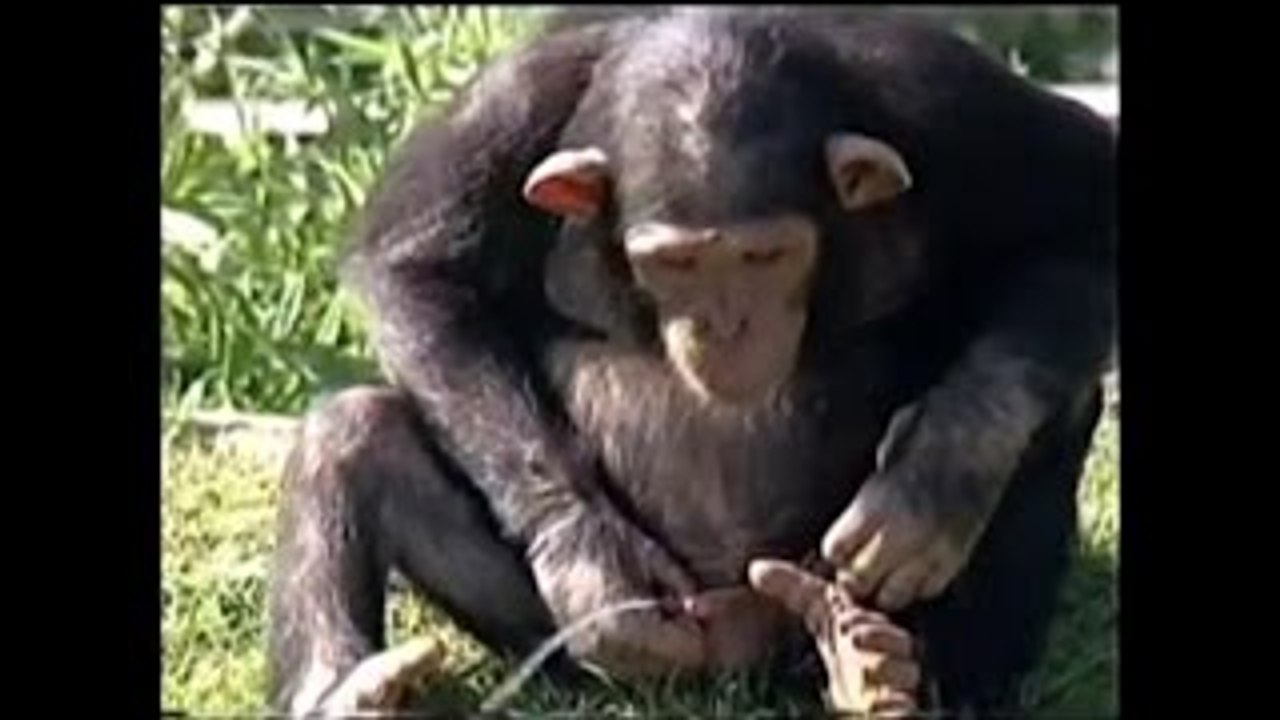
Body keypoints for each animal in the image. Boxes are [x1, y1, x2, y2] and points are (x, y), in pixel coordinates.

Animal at [266, 7, 1115, 718]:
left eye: (767, 256)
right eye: (674, 264)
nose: (725, 325)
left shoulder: (947, 95)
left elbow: (1085, 211)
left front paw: (931, 484)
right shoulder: (509, 103)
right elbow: (414, 268)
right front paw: (590, 563)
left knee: (1056, 401)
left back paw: (893, 674)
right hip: (589, 652)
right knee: (349, 433)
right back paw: (346, 691)